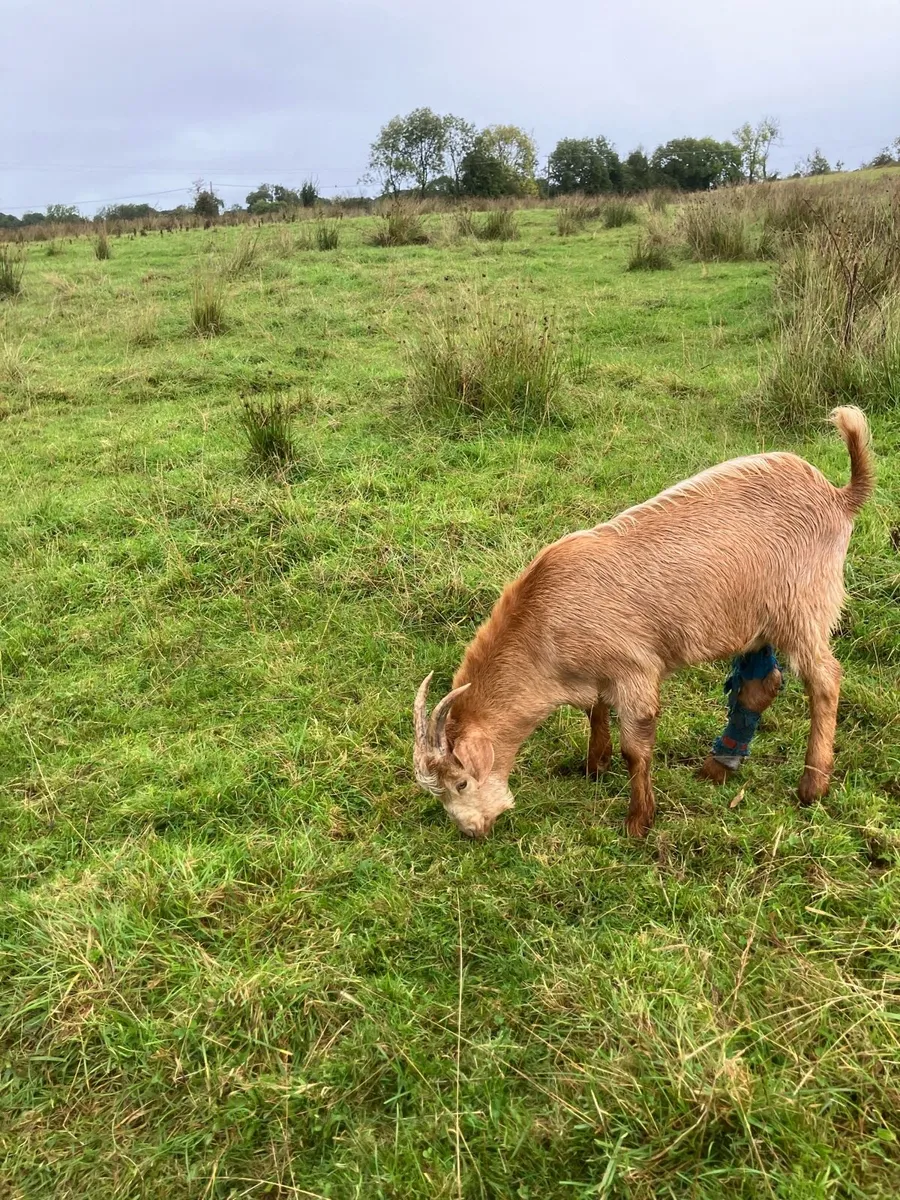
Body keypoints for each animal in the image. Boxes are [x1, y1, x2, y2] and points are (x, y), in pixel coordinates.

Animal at [413, 407, 873, 838]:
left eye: (460, 783)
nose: (471, 830)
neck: (543, 624)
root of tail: (839, 496)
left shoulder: (635, 670)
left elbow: (636, 748)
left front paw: (638, 821)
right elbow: (595, 711)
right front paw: (594, 765)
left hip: (803, 608)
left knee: (825, 679)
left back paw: (812, 785)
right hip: (756, 621)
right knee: (761, 684)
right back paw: (717, 767)